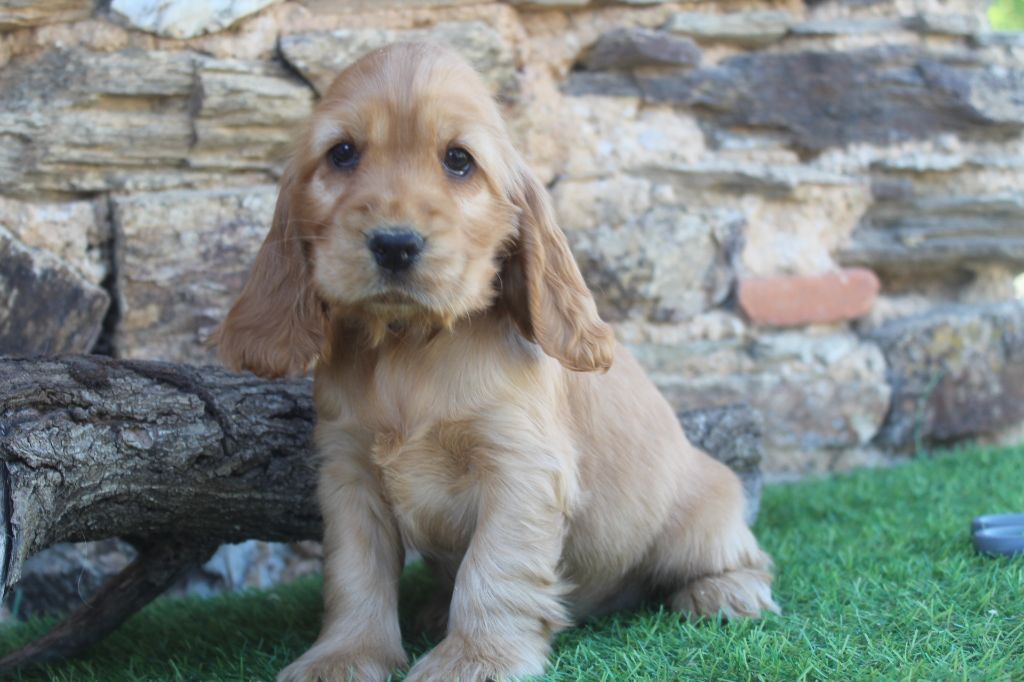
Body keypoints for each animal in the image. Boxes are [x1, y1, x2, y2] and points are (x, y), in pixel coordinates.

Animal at [214, 41, 778, 682]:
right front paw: (343, 657)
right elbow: (355, 575)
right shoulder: (348, 472)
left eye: (459, 160)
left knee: (745, 556)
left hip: (702, 518)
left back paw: (726, 592)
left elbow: (495, 569)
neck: (410, 347)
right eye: (343, 153)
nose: (394, 244)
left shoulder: (521, 468)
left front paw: (474, 659)